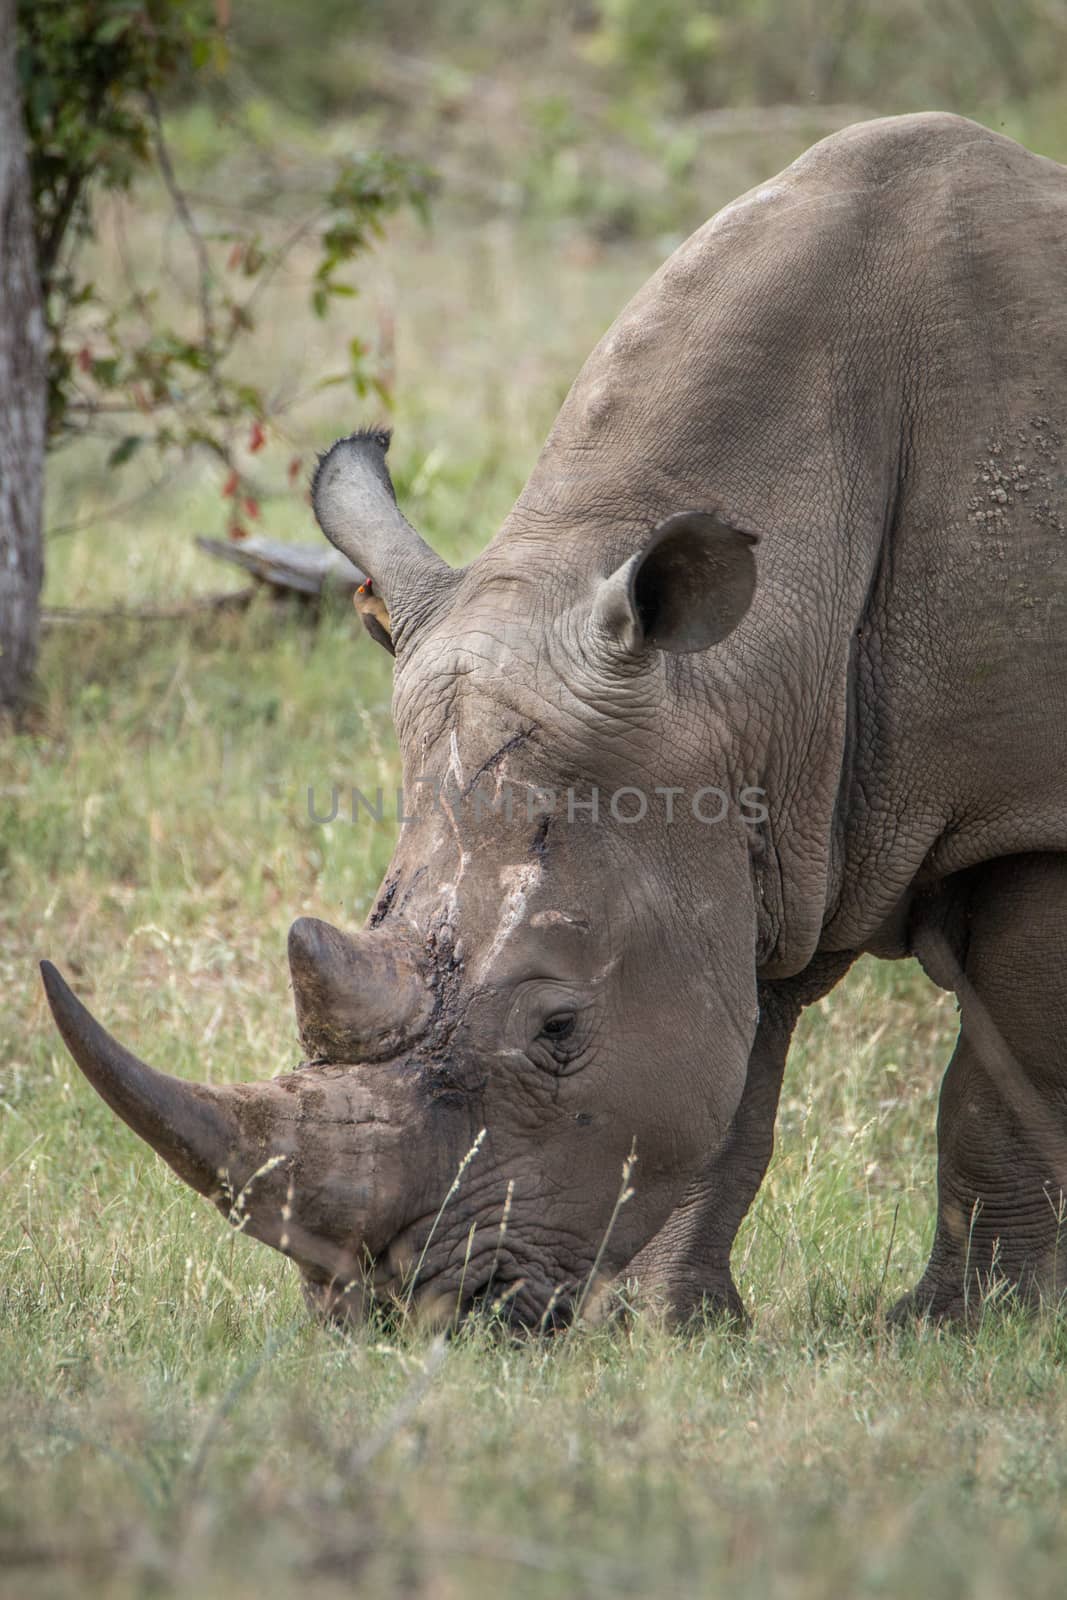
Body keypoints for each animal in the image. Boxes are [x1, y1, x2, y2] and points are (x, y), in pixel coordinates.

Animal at [45, 112, 1067, 1324]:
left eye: (558, 1030)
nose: (387, 1309)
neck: (759, 657)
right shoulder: (753, 809)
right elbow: (735, 1076)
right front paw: (666, 1326)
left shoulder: (1024, 811)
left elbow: (1002, 1076)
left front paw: (965, 1325)